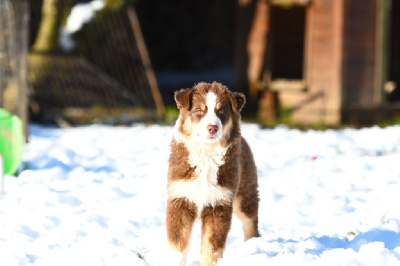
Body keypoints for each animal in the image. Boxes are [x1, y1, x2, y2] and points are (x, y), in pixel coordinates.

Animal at [166, 82, 260, 264]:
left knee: (250, 220)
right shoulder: (180, 199)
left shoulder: (219, 204)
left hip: (245, 193)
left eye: (221, 111)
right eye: (199, 110)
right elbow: (178, 246)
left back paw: (253, 244)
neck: (206, 154)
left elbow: (211, 248)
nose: (212, 128)